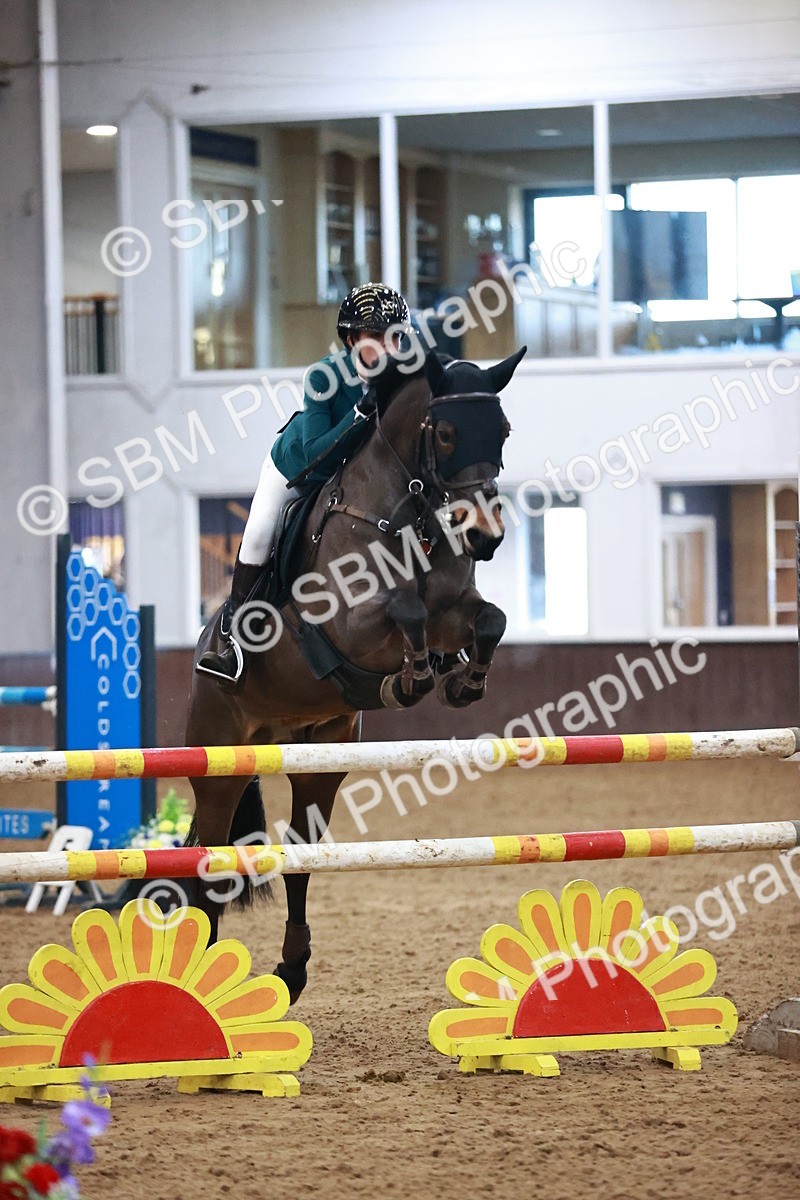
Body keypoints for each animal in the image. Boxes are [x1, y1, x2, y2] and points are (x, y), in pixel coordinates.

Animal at [185, 346, 526, 1001]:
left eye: (502, 430)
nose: (484, 536)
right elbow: (405, 610)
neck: (409, 512)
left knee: (298, 853)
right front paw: (413, 678)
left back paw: (291, 968)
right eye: (446, 433)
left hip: (320, 755)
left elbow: (488, 620)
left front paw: (462, 680)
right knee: (205, 859)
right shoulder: (349, 623)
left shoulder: (456, 611)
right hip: (218, 760)